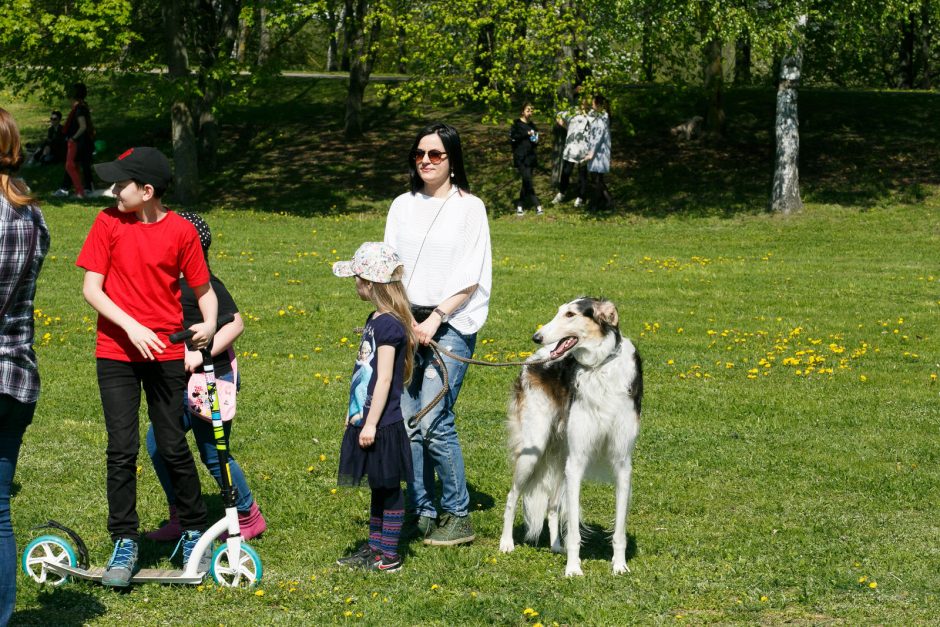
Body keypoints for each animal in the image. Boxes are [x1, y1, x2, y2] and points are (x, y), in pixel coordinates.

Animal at [500, 296, 640, 576]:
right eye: (559, 312)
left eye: (570, 314)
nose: (537, 336)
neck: (600, 366)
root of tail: (533, 359)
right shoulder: (577, 460)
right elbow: (574, 528)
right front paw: (574, 569)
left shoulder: (622, 463)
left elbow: (619, 530)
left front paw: (619, 566)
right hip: (533, 450)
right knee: (512, 497)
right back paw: (506, 543)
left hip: (559, 456)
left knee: (553, 506)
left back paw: (556, 545)